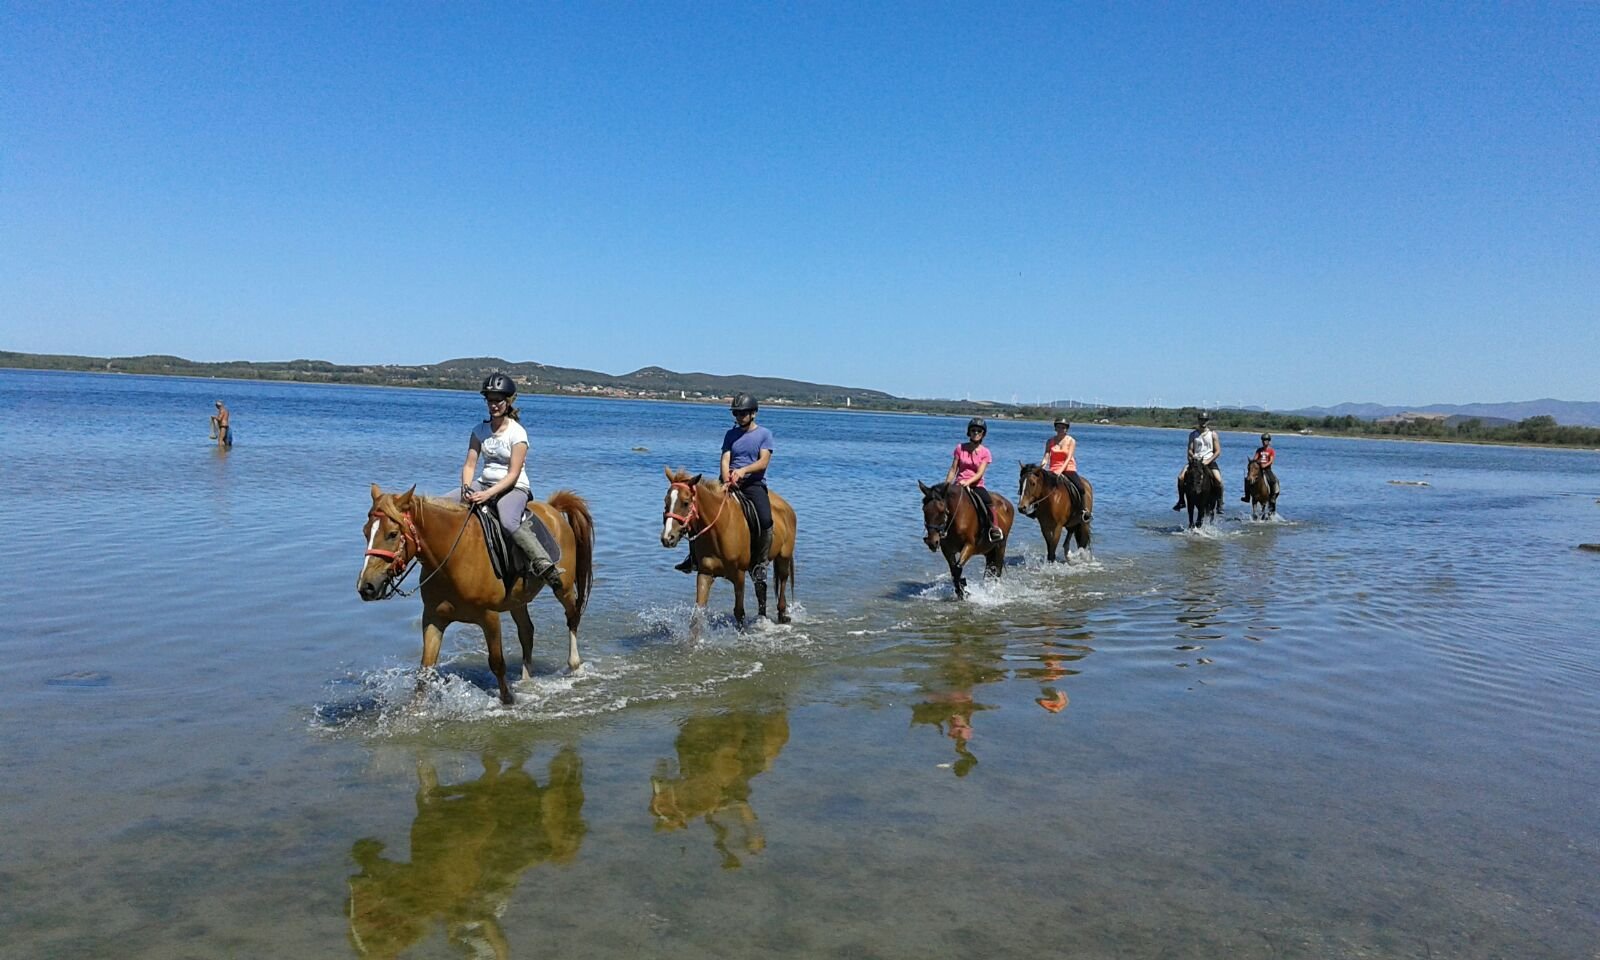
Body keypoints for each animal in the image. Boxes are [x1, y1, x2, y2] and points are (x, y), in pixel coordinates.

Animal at [356, 486, 595, 704]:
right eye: (366, 532)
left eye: (393, 534)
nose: (366, 586)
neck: (452, 559)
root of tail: (553, 509)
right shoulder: (433, 617)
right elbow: (425, 669)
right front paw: (417, 711)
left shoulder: (489, 617)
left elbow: (497, 663)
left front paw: (508, 700)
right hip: (518, 600)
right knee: (527, 632)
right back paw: (527, 680)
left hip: (563, 588)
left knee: (572, 617)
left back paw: (575, 665)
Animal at [656, 467, 793, 633]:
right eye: (666, 502)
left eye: (685, 503)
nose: (667, 538)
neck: (719, 529)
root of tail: (787, 506)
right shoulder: (705, 573)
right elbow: (697, 614)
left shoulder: (739, 575)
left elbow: (739, 612)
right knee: (761, 586)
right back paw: (762, 618)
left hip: (784, 557)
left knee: (783, 580)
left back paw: (782, 614)